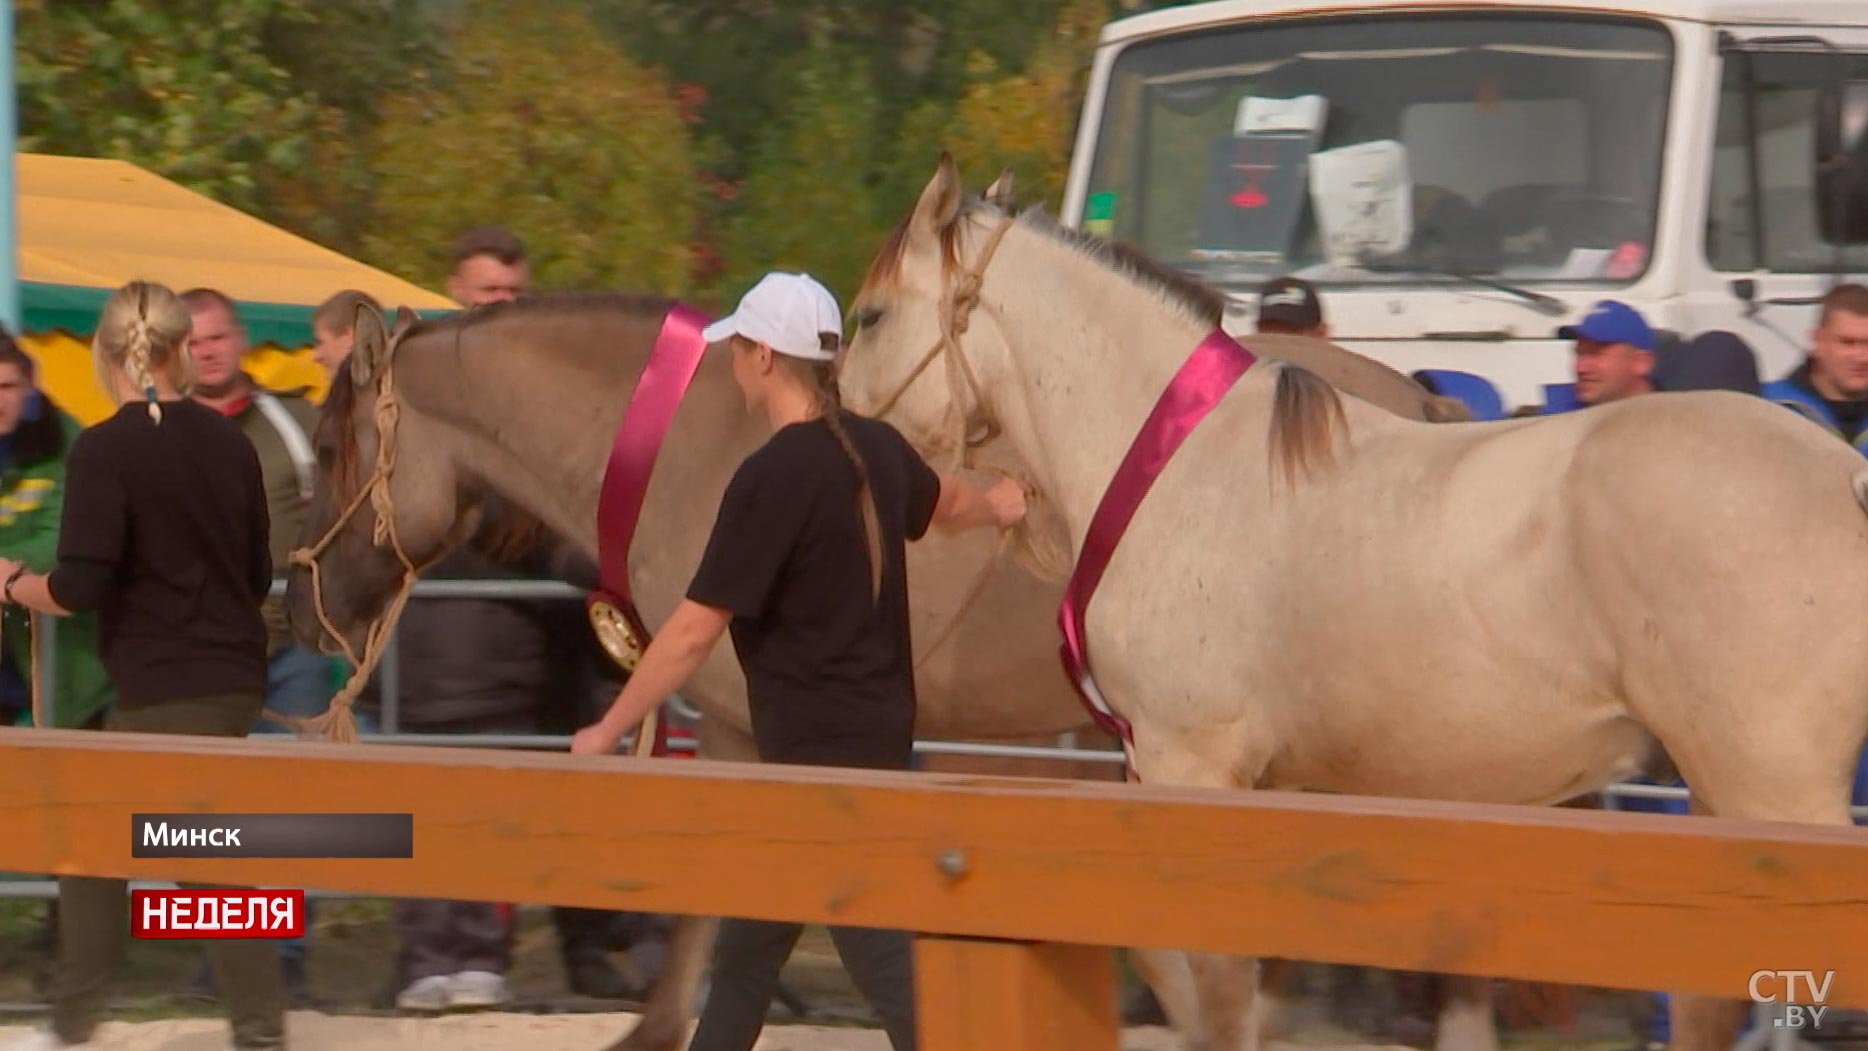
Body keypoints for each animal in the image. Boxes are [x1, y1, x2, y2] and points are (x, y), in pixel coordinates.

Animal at [840, 154, 1868, 1051]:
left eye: (871, 314)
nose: (840, 439)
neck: (1177, 466)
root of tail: (1845, 469)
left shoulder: (1188, 764)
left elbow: (1217, 989)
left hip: (1773, 792)